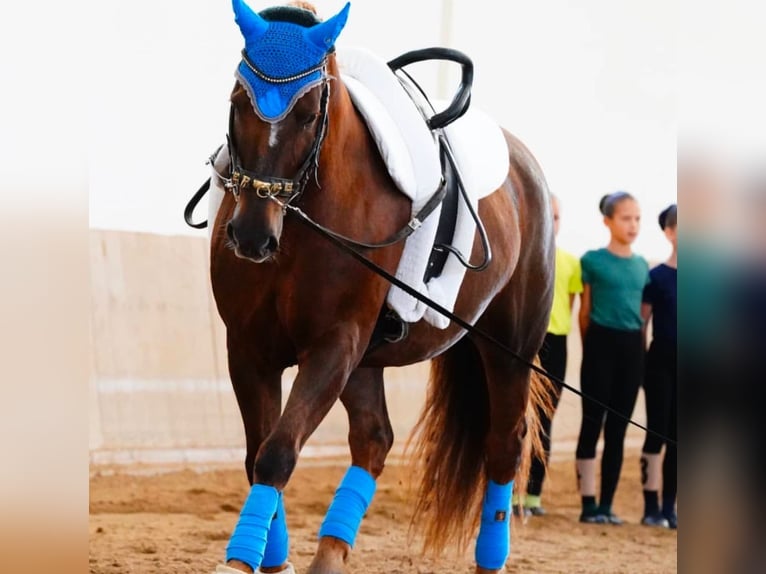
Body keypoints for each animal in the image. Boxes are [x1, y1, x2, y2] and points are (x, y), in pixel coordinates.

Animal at [207, 1, 556, 574]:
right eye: (238, 102)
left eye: (307, 114)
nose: (252, 235)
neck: (301, 223)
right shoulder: (249, 348)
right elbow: (258, 451)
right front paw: (271, 560)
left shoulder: (334, 345)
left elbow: (277, 452)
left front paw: (242, 560)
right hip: (367, 359)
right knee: (374, 439)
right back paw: (330, 554)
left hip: (508, 349)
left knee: (504, 444)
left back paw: (491, 558)